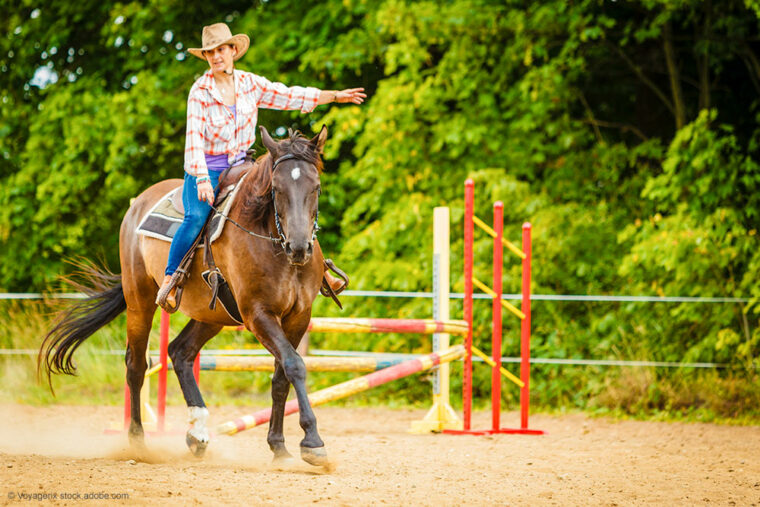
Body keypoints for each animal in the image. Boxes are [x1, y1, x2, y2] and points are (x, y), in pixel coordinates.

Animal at [38, 125, 330, 466]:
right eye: (277, 189)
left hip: (212, 314)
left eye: (316, 187)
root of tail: (138, 205)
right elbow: (294, 365)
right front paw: (312, 442)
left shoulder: (299, 316)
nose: (299, 247)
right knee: (136, 365)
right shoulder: (258, 315)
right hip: (140, 301)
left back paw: (197, 433)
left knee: (180, 351)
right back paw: (138, 442)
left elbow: (283, 374)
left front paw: (279, 446)